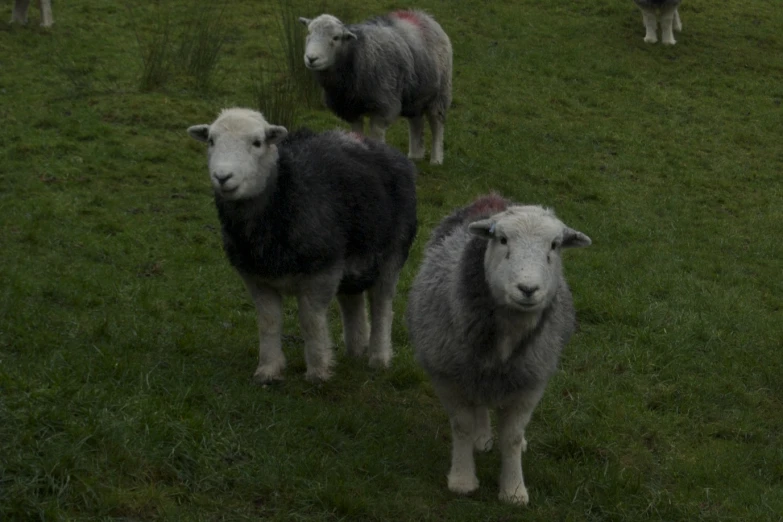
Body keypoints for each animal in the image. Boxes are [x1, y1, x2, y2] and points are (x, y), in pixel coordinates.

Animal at [188, 106, 420, 382]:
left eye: (257, 143)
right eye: (211, 141)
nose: (222, 177)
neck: (284, 193)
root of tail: (376, 146)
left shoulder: (322, 271)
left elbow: (311, 321)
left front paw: (318, 371)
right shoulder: (256, 277)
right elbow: (268, 321)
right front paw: (268, 369)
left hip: (391, 254)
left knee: (382, 306)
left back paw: (378, 357)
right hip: (351, 261)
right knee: (352, 302)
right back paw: (355, 350)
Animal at [298, 10, 454, 165]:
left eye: (335, 37)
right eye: (309, 32)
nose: (311, 58)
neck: (356, 54)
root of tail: (423, 15)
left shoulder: (382, 107)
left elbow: (376, 135)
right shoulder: (351, 108)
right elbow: (356, 133)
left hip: (440, 92)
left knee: (436, 123)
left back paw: (436, 159)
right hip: (415, 93)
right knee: (416, 121)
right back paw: (415, 155)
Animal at [408, 193, 592, 502]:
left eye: (554, 245)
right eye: (502, 239)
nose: (528, 289)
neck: (504, 344)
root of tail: (492, 198)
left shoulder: (531, 382)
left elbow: (512, 437)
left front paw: (514, 489)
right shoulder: (445, 375)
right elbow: (462, 426)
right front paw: (462, 479)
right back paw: (481, 437)